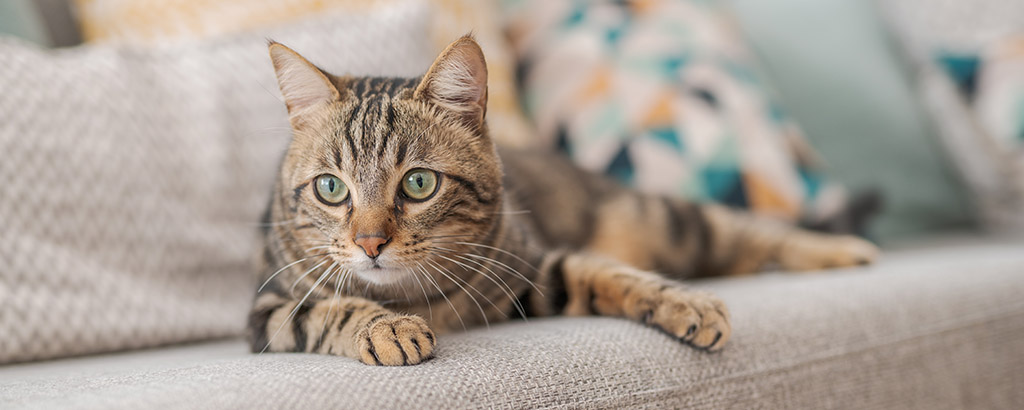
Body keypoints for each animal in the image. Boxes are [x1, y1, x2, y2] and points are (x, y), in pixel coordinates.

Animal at [243, 35, 876, 364]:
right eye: (331, 188)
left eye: (418, 184)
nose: (370, 242)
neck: (411, 295)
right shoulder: (268, 312)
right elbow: (334, 308)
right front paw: (386, 329)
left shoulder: (534, 269)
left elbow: (606, 272)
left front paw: (682, 302)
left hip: (666, 218)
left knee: (751, 232)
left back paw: (841, 249)